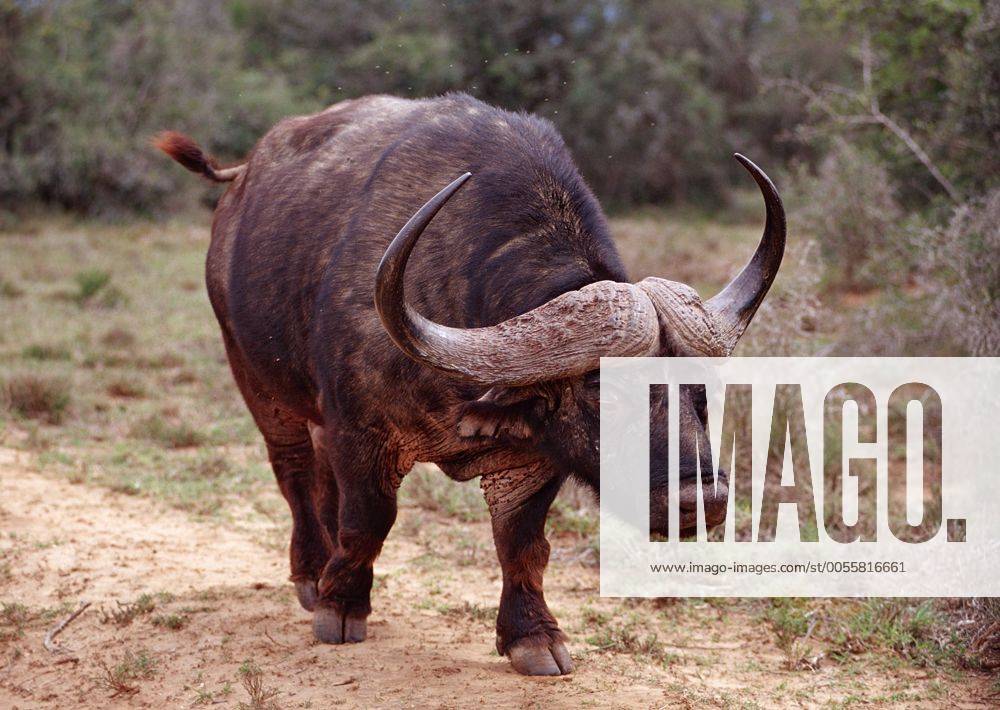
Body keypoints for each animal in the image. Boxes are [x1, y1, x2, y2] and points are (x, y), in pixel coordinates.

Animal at [157, 92, 785, 676]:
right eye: (602, 389)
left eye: (700, 389)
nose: (702, 499)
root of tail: (241, 181)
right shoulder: (361, 433)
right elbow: (368, 521)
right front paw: (341, 606)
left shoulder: (532, 459)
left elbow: (522, 545)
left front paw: (532, 636)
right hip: (259, 382)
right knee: (292, 472)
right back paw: (314, 573)